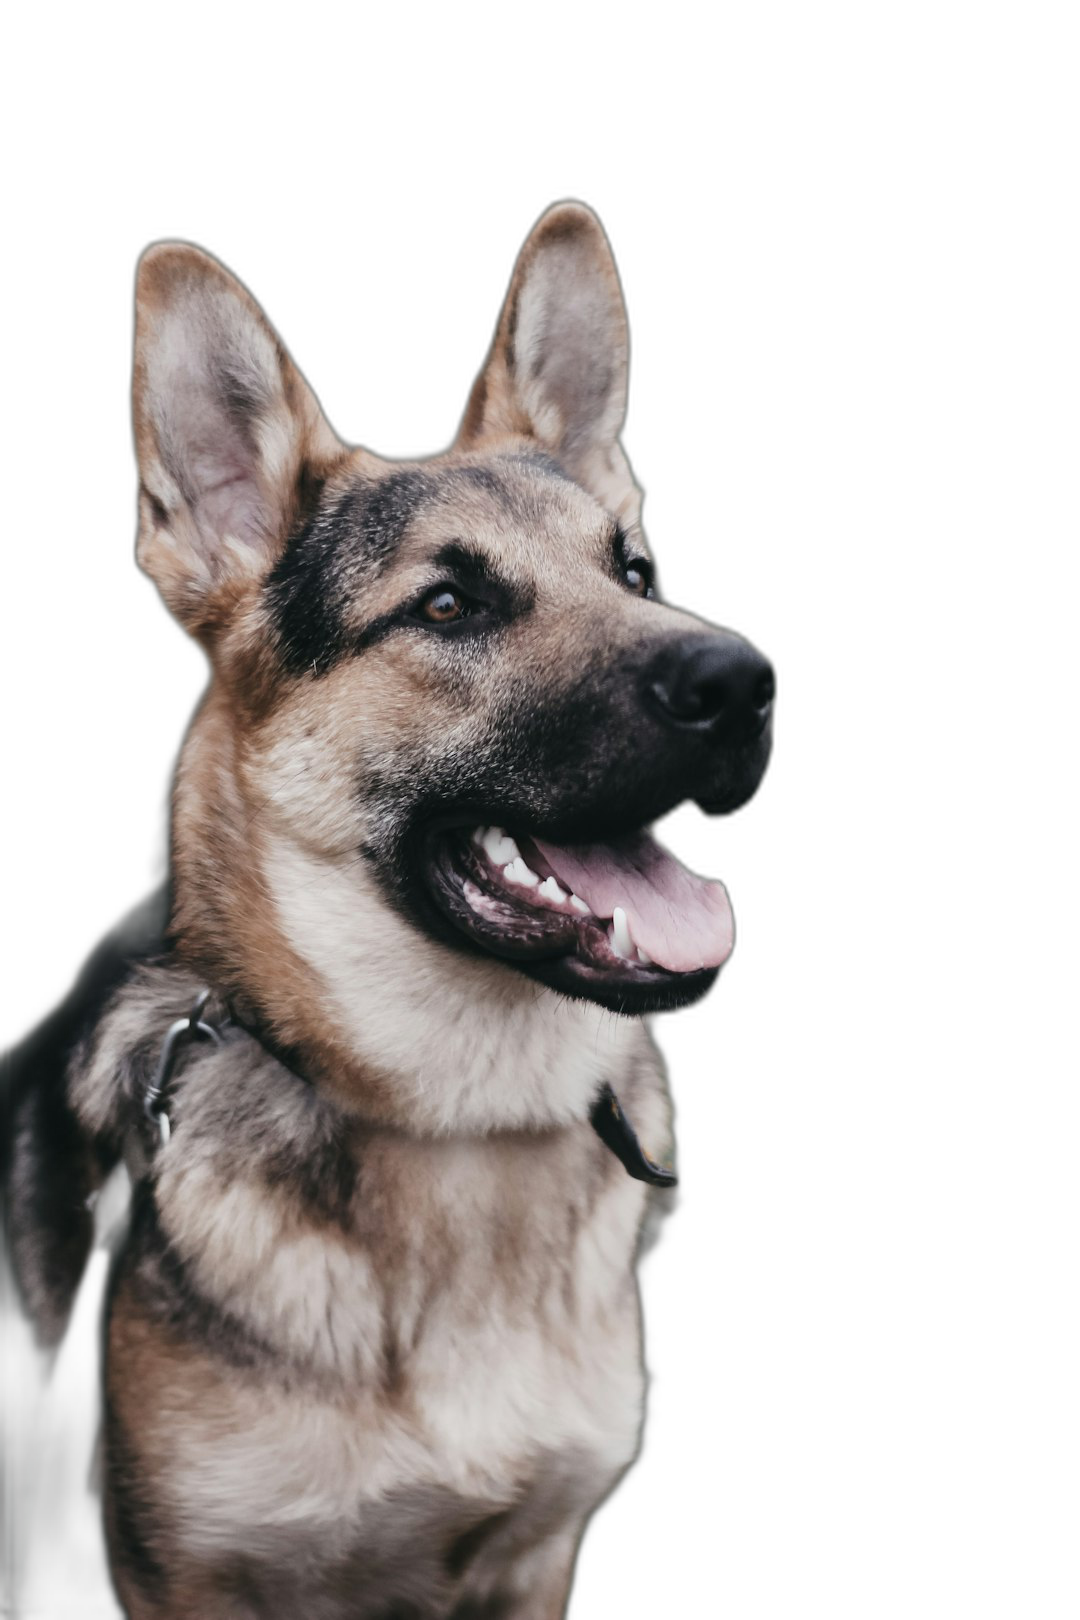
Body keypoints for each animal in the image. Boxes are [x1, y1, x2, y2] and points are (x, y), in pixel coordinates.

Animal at [0, 205, 777, 1620]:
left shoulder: (533, 1566)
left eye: (637, 571)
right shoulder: (186, 1584)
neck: (462, 1128)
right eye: (449, 606)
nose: (746, 680)